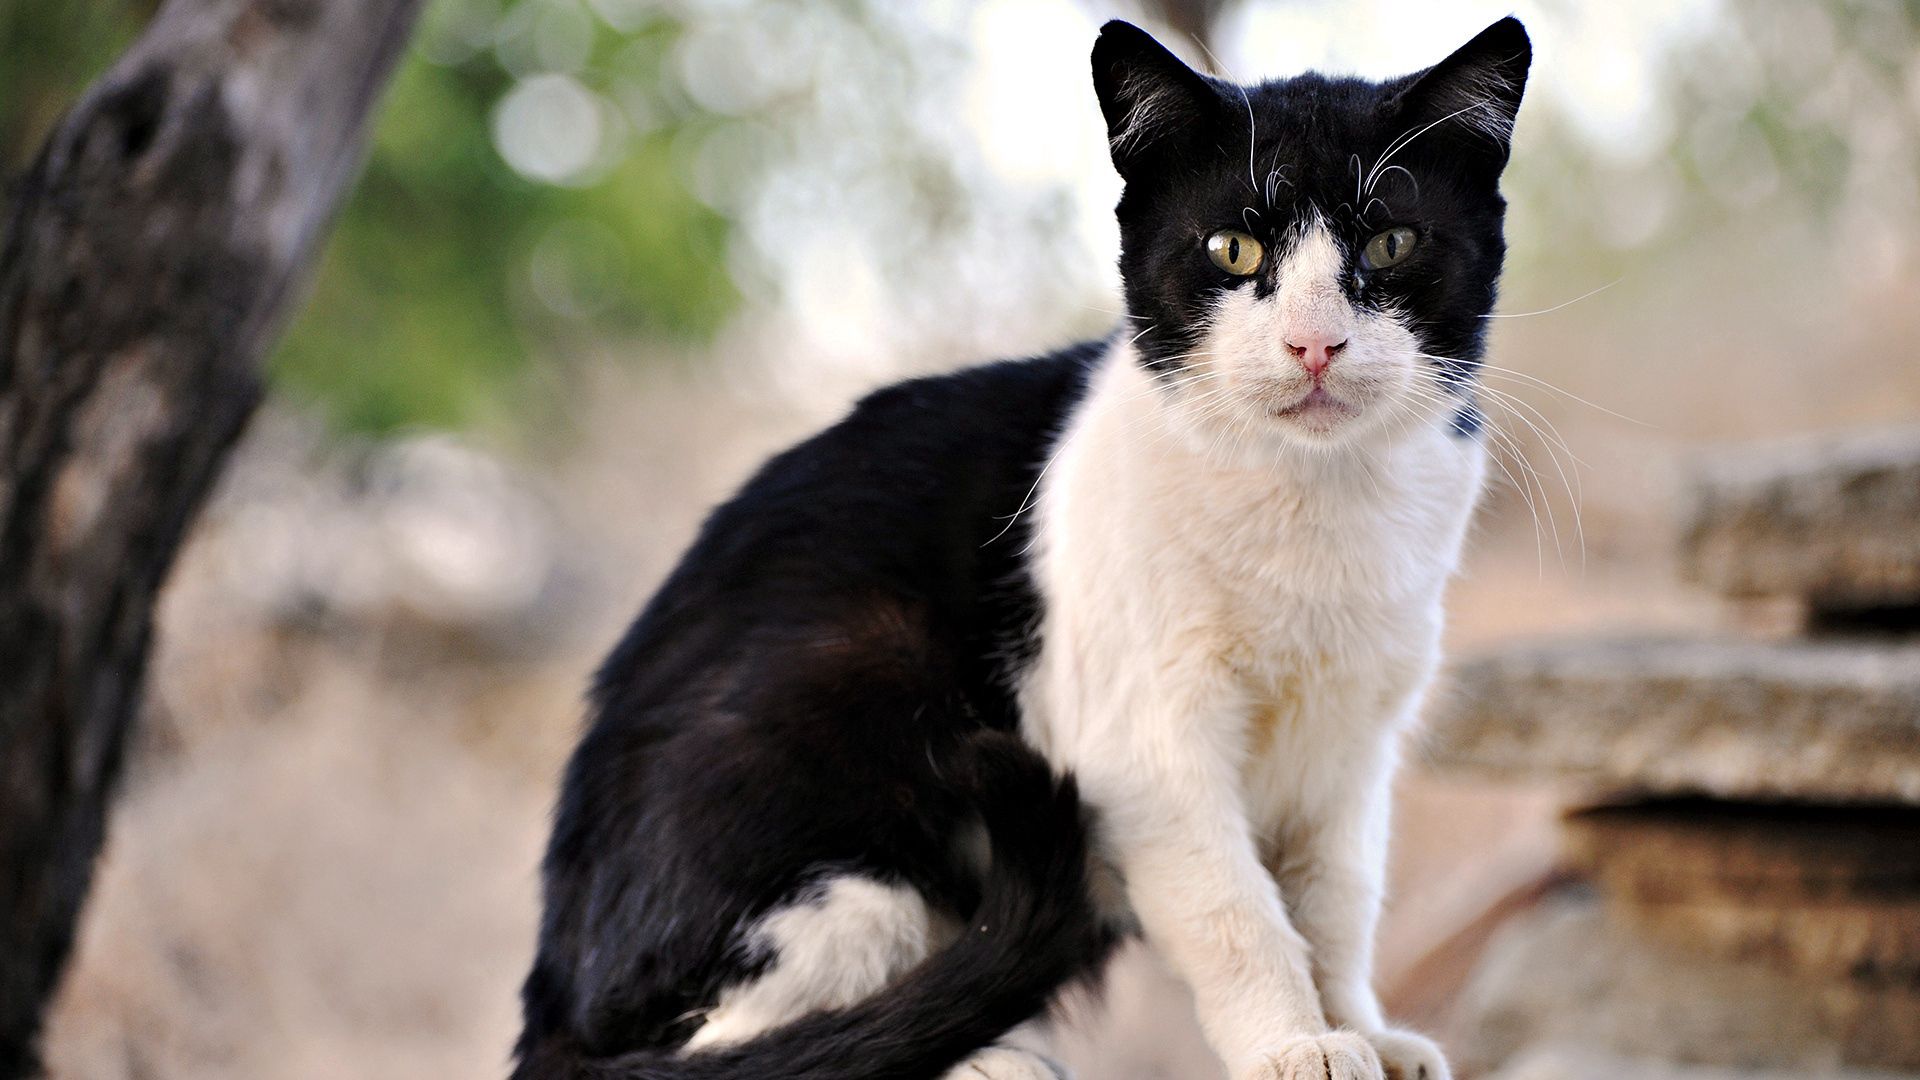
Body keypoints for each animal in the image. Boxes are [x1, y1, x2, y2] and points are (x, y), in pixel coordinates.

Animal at [510, 16, 1528, 1076]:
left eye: (1392, 241)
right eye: (1234, 247)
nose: (1315, 345)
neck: (1316, 507)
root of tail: (554, 1004)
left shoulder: (1349, 751)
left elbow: (1336, 906)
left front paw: (1360, 1029)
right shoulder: (1145, 747)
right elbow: (1236, 912)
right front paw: (1295, 1044)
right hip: (854, 728)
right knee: (733, 1040)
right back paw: (982, 1055)